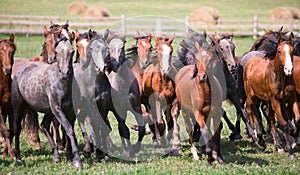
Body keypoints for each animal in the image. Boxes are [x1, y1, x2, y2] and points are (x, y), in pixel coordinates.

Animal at [11, 36, 83, 168]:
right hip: (18, 107)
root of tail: (20, 70)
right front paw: (77, 160)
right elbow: (69, 130)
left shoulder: (70, 112)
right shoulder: (57, 109)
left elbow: (68, 131)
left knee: (44, 125)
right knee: (17, 128)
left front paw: (69, 159)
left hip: (48, 111)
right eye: (57, 52)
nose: (64, 72)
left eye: (72, 51)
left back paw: (56, 156)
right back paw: (18, 157)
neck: (63, 85)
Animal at [244, 30, 298, 159]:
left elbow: (295, 120)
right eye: (279, 51)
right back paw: (257, 139)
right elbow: (284, 124)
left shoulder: (291, 100)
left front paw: (292, 138)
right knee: (249, 110)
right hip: (252, 97)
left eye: (292, 50)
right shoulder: (276, 102)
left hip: (265, 100)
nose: (289, 70)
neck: (281, 79)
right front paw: (290, 152)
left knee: (268, 117)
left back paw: (272, 144)